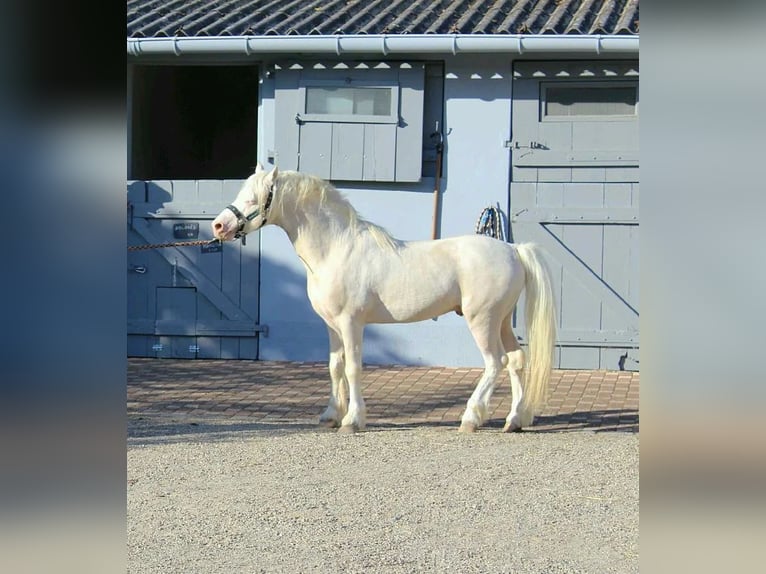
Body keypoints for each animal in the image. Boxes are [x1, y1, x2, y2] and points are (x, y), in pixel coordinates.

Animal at [214, 164, 560, 434]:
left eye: (252, 197)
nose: (219, 226)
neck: (336, 248)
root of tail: (513, 250)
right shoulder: (332, 326)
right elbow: (335, 367)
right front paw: (330, 415)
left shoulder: (351, 323)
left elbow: (353, 368)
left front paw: (353, 420)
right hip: (501, 321)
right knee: (516, 361)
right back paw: (514, 420)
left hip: (483, 321)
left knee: (495, 363)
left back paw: (471, 417)